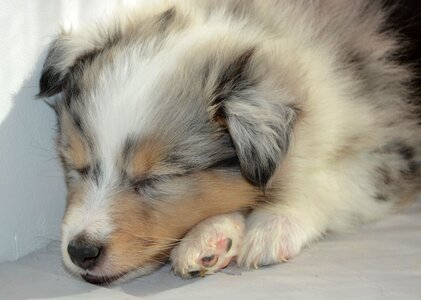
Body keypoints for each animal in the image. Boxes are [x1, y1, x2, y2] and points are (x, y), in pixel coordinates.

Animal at [37, 0, 418, 284]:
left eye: (158, 179)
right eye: (75, 165)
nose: (80, 252)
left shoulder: (395, 146)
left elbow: (325, 180)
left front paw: (271, 223)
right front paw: (212, 235)